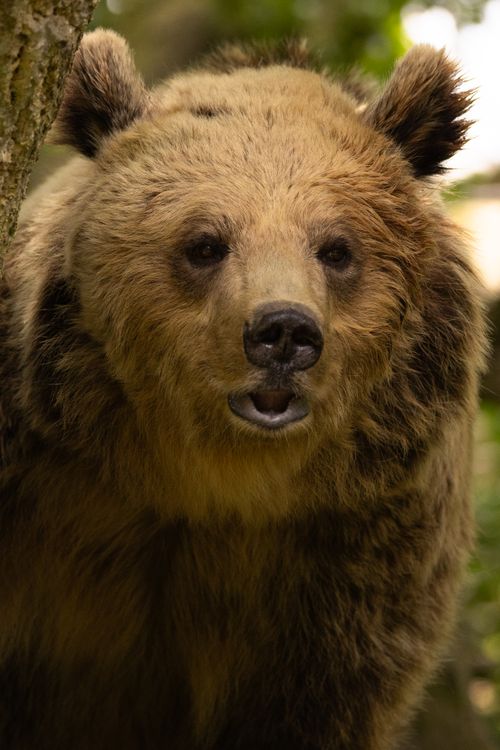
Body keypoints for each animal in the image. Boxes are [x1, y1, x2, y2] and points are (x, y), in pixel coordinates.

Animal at [0, 28, 487, 750]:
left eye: (336, 249)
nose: (283, 332)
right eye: (205, 243)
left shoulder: (357, 563)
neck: (207, 482)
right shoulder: (43, 491)